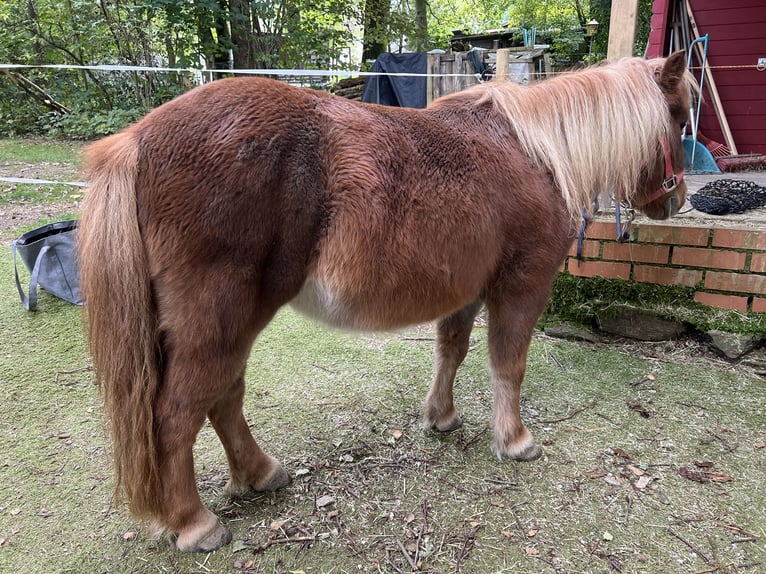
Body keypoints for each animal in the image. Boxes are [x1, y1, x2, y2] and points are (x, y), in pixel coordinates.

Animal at [79, 50, 696, 552]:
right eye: (679, 118)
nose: (676, 201)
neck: (536, 152)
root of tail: (137, 141)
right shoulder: (521, 285)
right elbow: (508, 363)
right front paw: (515, 440)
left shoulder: (466, 289)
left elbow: (452, 350)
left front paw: (441, 417)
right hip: (220, 321)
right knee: (178, 416)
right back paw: (194, 523)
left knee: (223, 400)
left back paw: (260, 474)